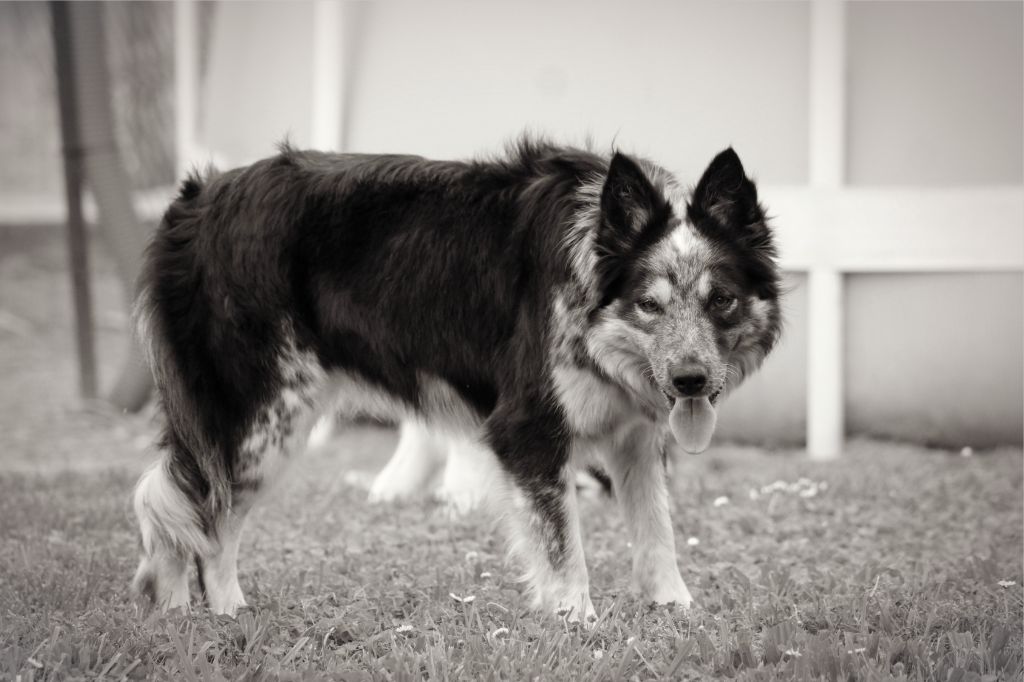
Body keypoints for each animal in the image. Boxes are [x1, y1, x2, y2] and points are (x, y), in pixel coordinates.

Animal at [132, 138, 778, 622]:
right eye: (649, 304)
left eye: (721, 300)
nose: (691, 381)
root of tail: (197, 197)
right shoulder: (528, 429)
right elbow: (564, 547)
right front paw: (579, 624)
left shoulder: (637, 439)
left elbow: (656, 535)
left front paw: (676, 611)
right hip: (260, 422)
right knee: (202, 516)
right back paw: (221, 617)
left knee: (177, 508)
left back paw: (181, 614)